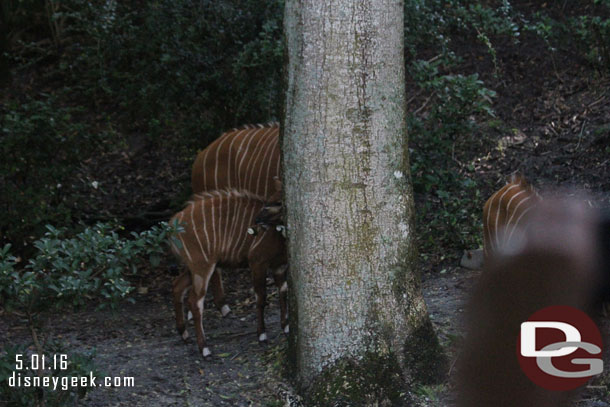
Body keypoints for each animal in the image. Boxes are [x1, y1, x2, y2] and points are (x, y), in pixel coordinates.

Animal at [169, 190, 288, 358]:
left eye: (278, 202)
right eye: (268, 202)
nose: (257, 220)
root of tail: (172, 224)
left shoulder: (279, 266)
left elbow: (283, 293)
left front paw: (286, 327)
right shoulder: (257, 262)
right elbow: (261, 298)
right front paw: (262, 335)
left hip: (194, 266)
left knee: (177, 286)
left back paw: (185, 334)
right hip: (202, 265)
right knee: (194, 301)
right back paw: (205, 349)